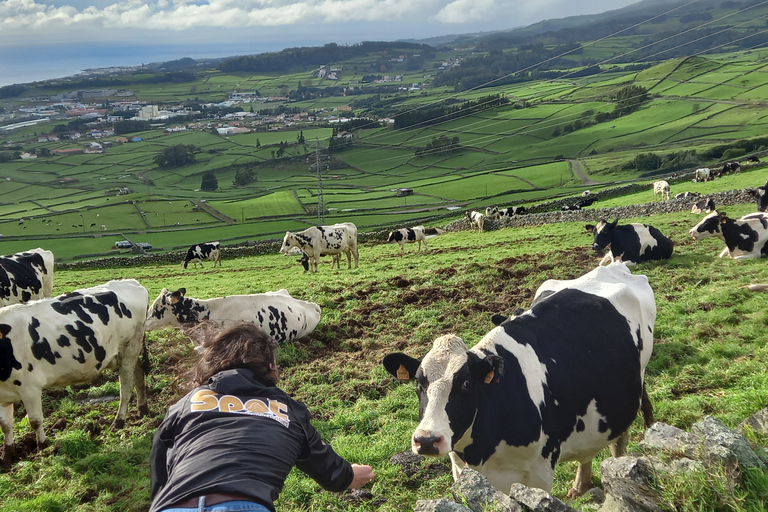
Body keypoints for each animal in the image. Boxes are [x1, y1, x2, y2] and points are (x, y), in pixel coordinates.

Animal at [0, 278, 149, 462]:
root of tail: (131, 282)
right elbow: (5, 425)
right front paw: (7, 454)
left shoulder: (30, 387)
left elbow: (35, 421)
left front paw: (43, 446)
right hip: (129, 352)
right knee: (139, 373)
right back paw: (142, 409)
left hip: (129, 348)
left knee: (126, 387)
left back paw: (119, 421)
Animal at [382, 262, 656, 498]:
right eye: (418, 383)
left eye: (467, 384)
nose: (427, 440)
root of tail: (613, 267)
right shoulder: (462, 471)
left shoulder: (539, 473)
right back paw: (580, 485)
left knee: (621, 437)